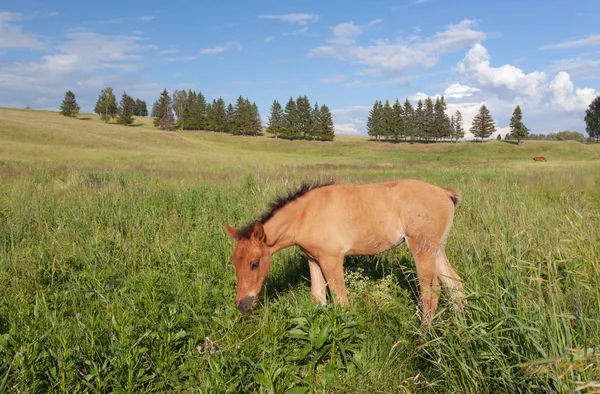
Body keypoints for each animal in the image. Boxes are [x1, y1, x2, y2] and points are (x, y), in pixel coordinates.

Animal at [225, 180, 464, 324]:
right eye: (235, 263)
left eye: (255, 263)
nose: (242, 306)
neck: (306, 214)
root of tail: (445, 193)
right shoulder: (314, 260)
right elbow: (318, 300)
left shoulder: (332, 259)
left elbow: (342, 302)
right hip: (437, 249)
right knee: (456, 285)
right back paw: (461, 328)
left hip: (422, 249)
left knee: (431, 293)